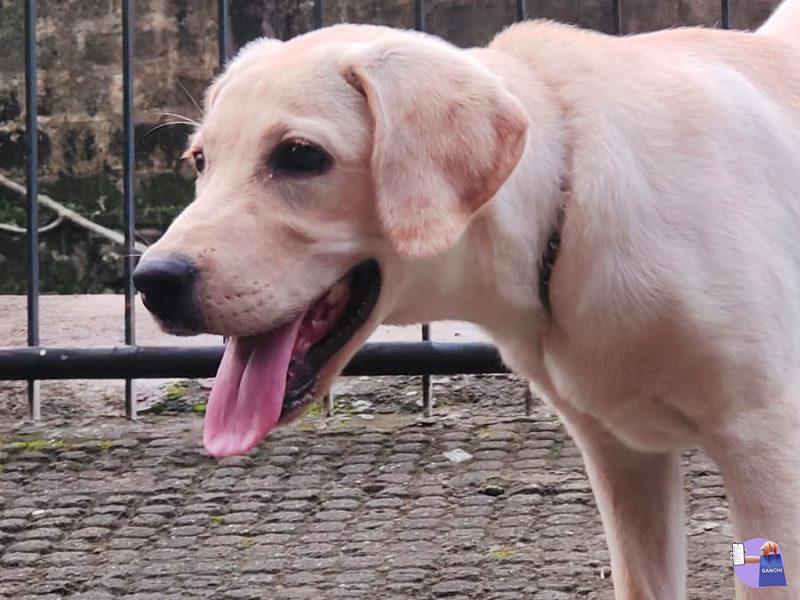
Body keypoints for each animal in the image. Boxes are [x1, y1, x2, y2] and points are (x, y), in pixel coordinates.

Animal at [134, 2, 800, 596]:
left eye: (300, 156)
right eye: (200, 160)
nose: (152, 281)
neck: (564, 200)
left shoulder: (766, 447)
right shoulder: (622, 457)